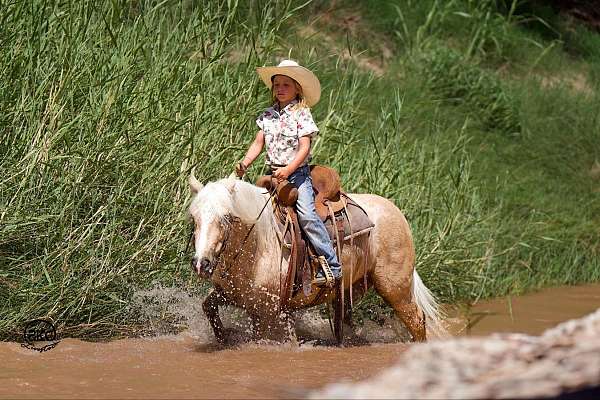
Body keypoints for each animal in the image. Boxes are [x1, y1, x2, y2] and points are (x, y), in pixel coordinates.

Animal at [189, 173, 446, 342]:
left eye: (226, 217)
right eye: (194, 217)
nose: (202, 264)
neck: (258, 245)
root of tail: (397, 213)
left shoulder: (270, 310)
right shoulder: (237, 297)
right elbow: (208, 307)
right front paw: (223, 338)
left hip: (395, 288)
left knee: (417, 320)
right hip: (350, 290)